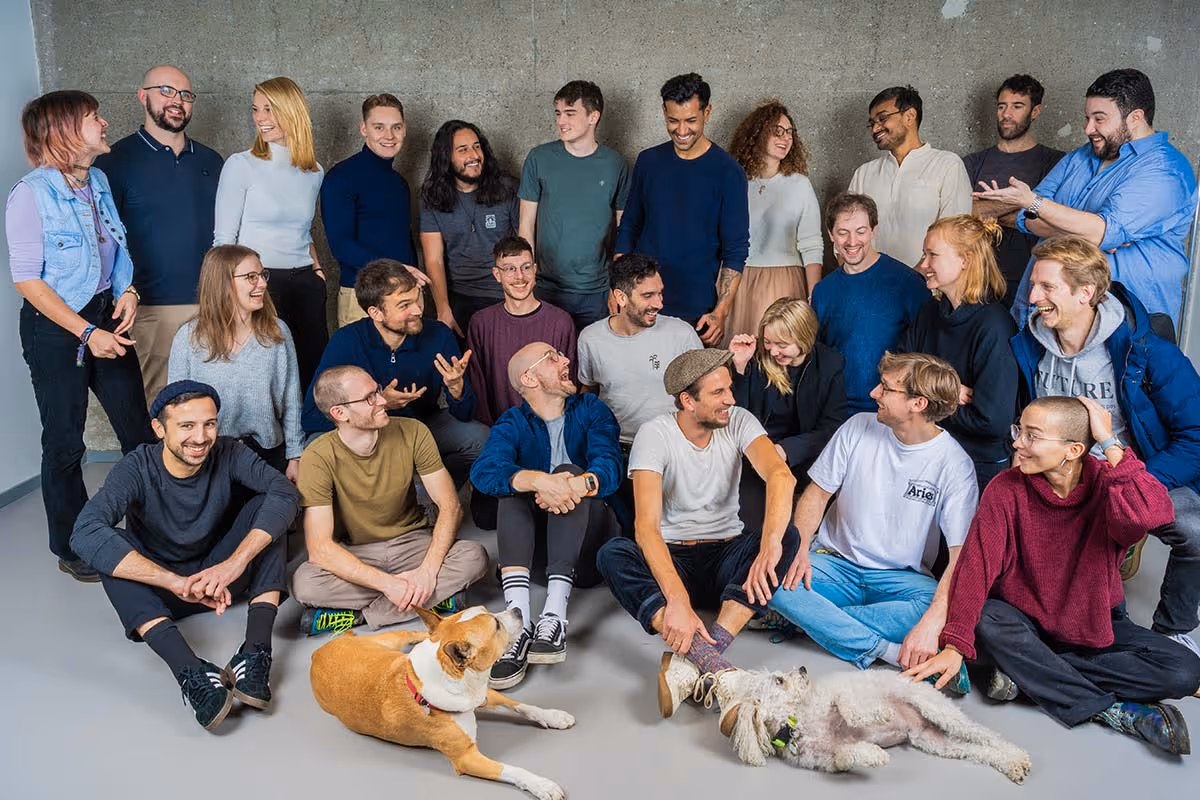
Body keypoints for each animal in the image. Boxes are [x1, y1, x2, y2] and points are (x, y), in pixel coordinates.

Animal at [310, 605, 574, 800]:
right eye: (496, 625)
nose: (518, 609)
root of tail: (317, 653)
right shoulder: (467, 758)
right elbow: (510, 769)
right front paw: (541, 785)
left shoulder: (482, 694)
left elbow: (520, 705)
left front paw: (553, 716)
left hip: (391, 641)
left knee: (413, 634)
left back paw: (424, 635)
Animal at [714, 666, 1031, 783]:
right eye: (779, 680)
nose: (803, 669)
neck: (798, 720)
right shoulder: (829, 762)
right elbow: (845, 755)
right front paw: (874, 754)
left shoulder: (835, 697)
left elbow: (849, 707)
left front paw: (880, 715)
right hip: (934, 741)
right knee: (976, 750)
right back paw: (1011, 764)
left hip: (938, 710)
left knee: (986, 735)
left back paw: (1016, 755)